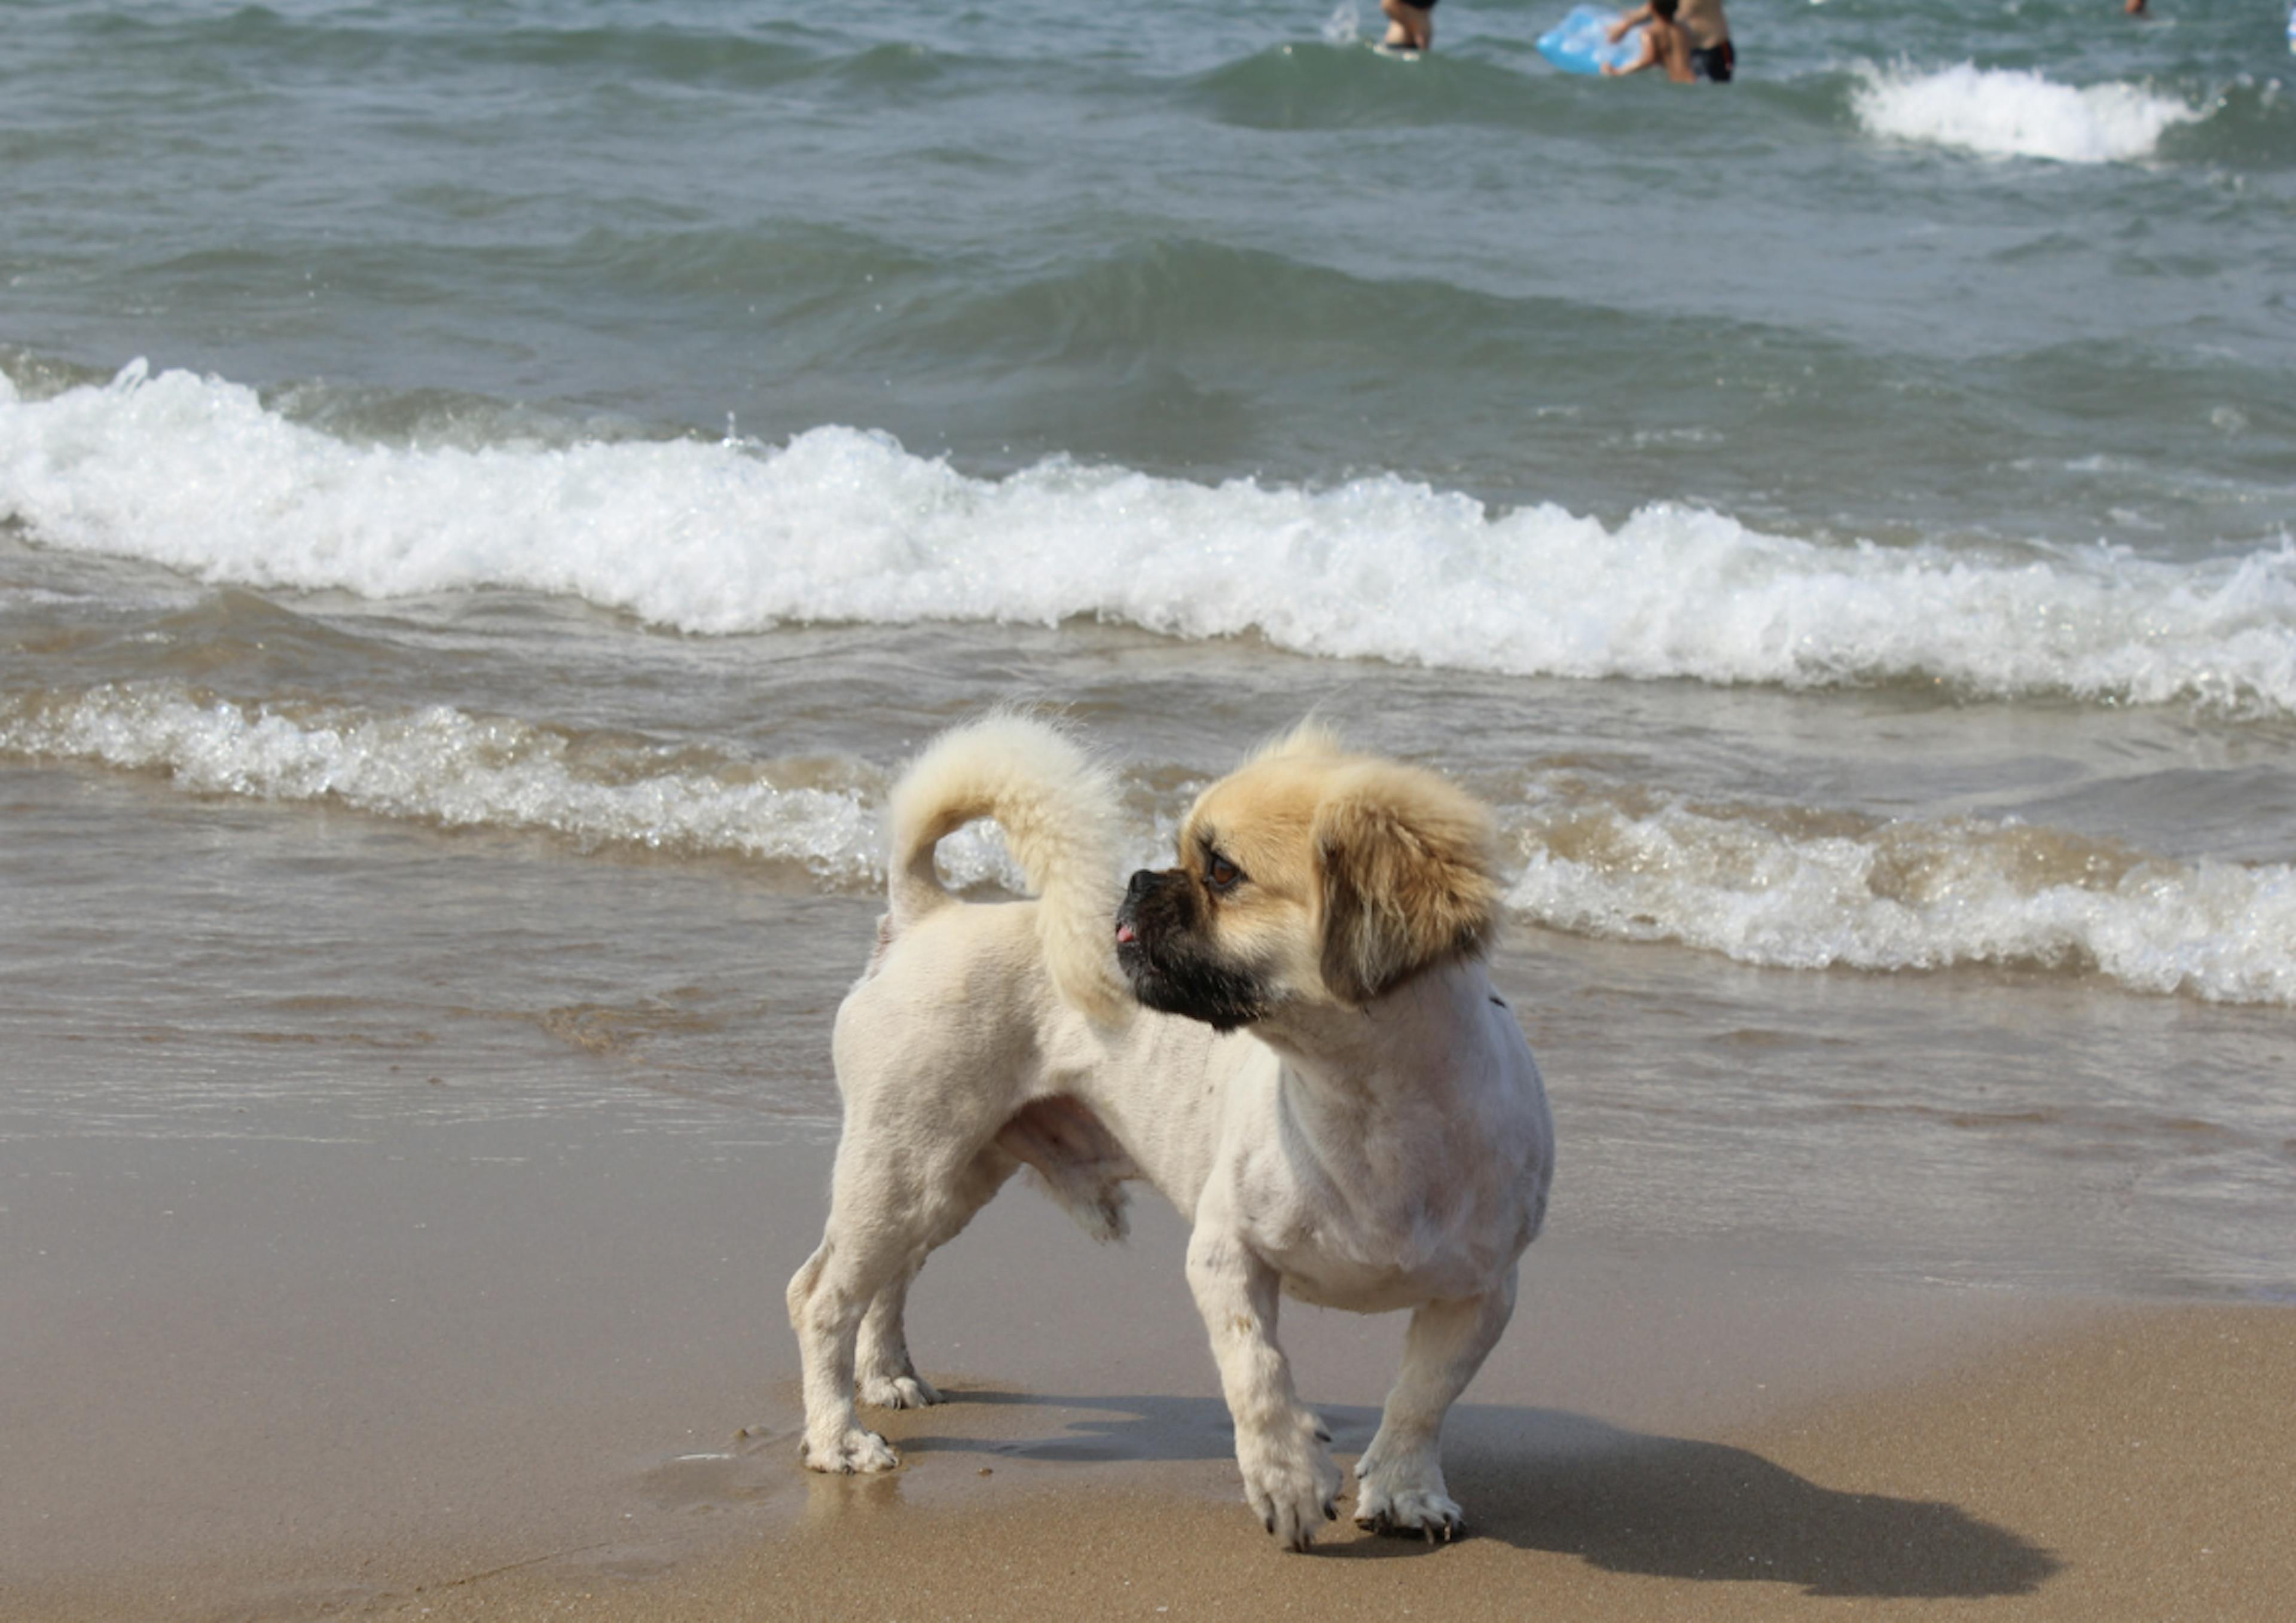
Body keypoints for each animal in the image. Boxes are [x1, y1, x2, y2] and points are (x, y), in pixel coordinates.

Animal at [789, 720, 1561, 1551]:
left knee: (890, 1280)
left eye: (1221, 872)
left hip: (945, 1181)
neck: (1368, 1111)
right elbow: (1258, 1375)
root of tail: (927, 916)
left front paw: (1404, 1490)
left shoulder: (1481, 1295)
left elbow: (1421, 1398)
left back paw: (887, 1375)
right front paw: (1287, 1479)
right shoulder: (1225, 1256)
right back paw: (838, 1438)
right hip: (904, 1164)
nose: (1138, 880)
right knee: (823, 1297)